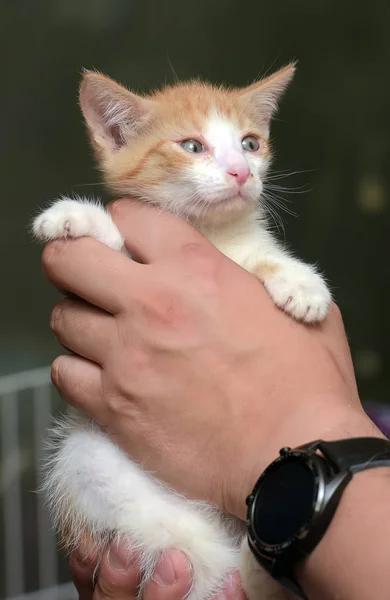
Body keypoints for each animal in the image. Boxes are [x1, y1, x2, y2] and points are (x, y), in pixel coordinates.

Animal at [32, 63, 330, 596]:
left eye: (250, 143)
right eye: (192, 146)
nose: (241, 172)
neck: (208, 235)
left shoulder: (245, 248)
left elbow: (261, 257)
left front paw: (300, 282)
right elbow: (119, 247)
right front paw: (76, 215)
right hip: (87, 456)